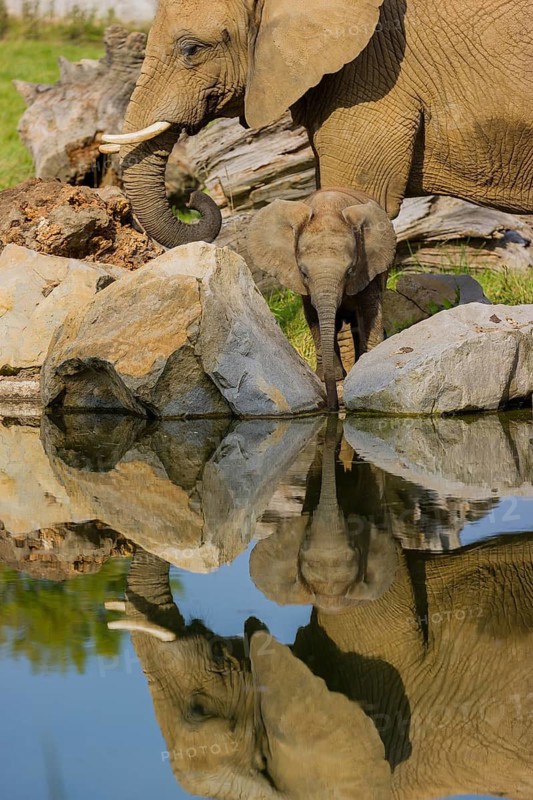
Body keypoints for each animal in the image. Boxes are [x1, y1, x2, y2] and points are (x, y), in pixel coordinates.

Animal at [247, 188, 396, 410]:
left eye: (350, 271)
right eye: (303, 272)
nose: (333, 407)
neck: (328, 208)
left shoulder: (369, 266)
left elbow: (370, 310)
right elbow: (313, 317)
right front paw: (330, 377)